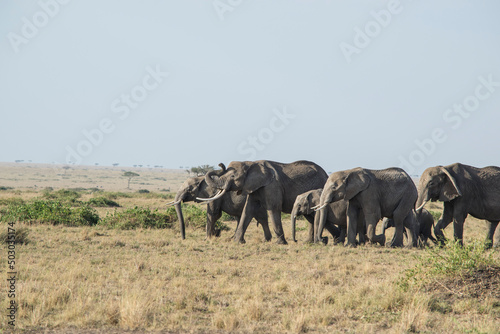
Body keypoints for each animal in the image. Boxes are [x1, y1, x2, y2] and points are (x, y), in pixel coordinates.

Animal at [199, 160, 328, 244]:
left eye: (233, 176)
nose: (220, 164)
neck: (251, 163)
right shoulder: (253, 187)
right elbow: (247, 210)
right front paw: (237, 242)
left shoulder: (272, 185)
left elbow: (273, 209)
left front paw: (280, 243)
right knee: (310, 217)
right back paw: (308, 242)